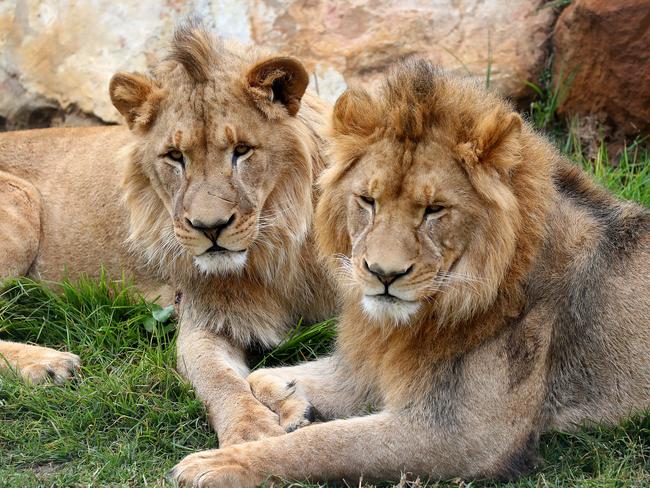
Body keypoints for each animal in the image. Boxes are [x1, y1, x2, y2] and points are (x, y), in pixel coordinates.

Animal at [0, 21, 334, 442]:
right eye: (175, 156)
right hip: (21, 200)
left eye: (242, 150)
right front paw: (251, 433)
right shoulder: (203, 321)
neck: (273, 252)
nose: (210, 228)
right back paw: (48, 363)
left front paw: (290, 404)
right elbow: (219, 381)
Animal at [170, 59, 644, 486]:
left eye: (434, 210)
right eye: (368, 201)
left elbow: (329, 444)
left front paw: (221, 463)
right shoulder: (371, 368)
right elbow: (263, 375)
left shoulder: (465, 434)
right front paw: (292, 405)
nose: (383, 274)